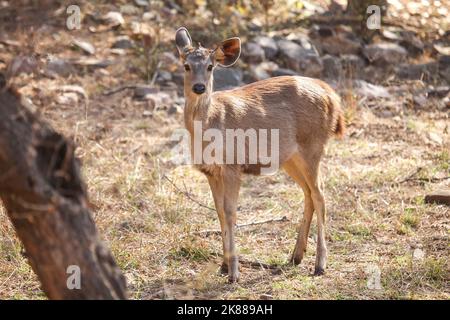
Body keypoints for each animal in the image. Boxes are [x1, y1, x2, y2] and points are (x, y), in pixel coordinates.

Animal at [175, 27, 344, 282]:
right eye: (186, 65)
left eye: (210, 66)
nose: (199, 87)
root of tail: (331, 95)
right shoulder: (210, 171)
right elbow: (219, 212)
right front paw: (224, 266)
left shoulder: (233, 164)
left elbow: (230, 212)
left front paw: (234, 273)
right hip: (291, 157)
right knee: (308, 193)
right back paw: (296, 256)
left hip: (313, 145)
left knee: (320, 194)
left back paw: (320, 264)